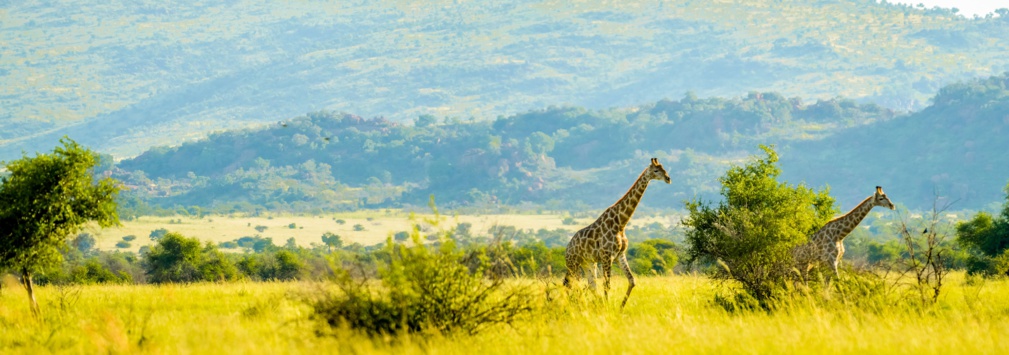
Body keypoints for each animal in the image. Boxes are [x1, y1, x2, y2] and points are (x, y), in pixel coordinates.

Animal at [561, 157, 669, 308]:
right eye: (656, 170)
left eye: (664, 168)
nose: (668, 178)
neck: (621, 223)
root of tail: (567, 247)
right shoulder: (607, 256)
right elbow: (607, 285)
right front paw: (608, 307)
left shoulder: (620, 255)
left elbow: (632, 281)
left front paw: (619, 308)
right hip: (573, 263)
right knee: (570, 284)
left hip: (588, 263)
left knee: (589, 285)